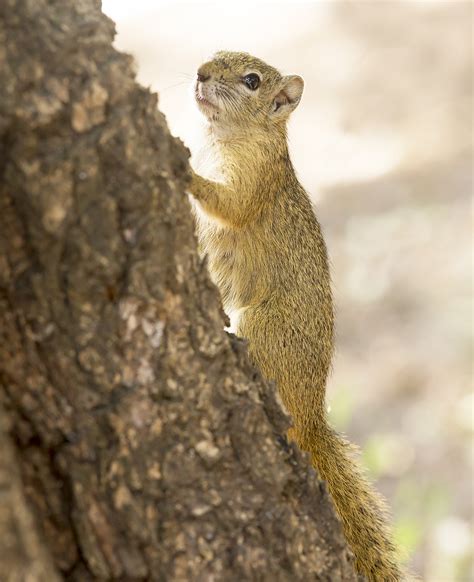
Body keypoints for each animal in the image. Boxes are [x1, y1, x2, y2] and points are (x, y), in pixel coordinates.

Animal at [187, 51, 406, 582]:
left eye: (251, 81)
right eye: (215, 53)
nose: (201, 72)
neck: (224, 138)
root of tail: (311, 418)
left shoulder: (253, 183)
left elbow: (227, 203)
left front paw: (180, 169)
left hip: (263, 327)